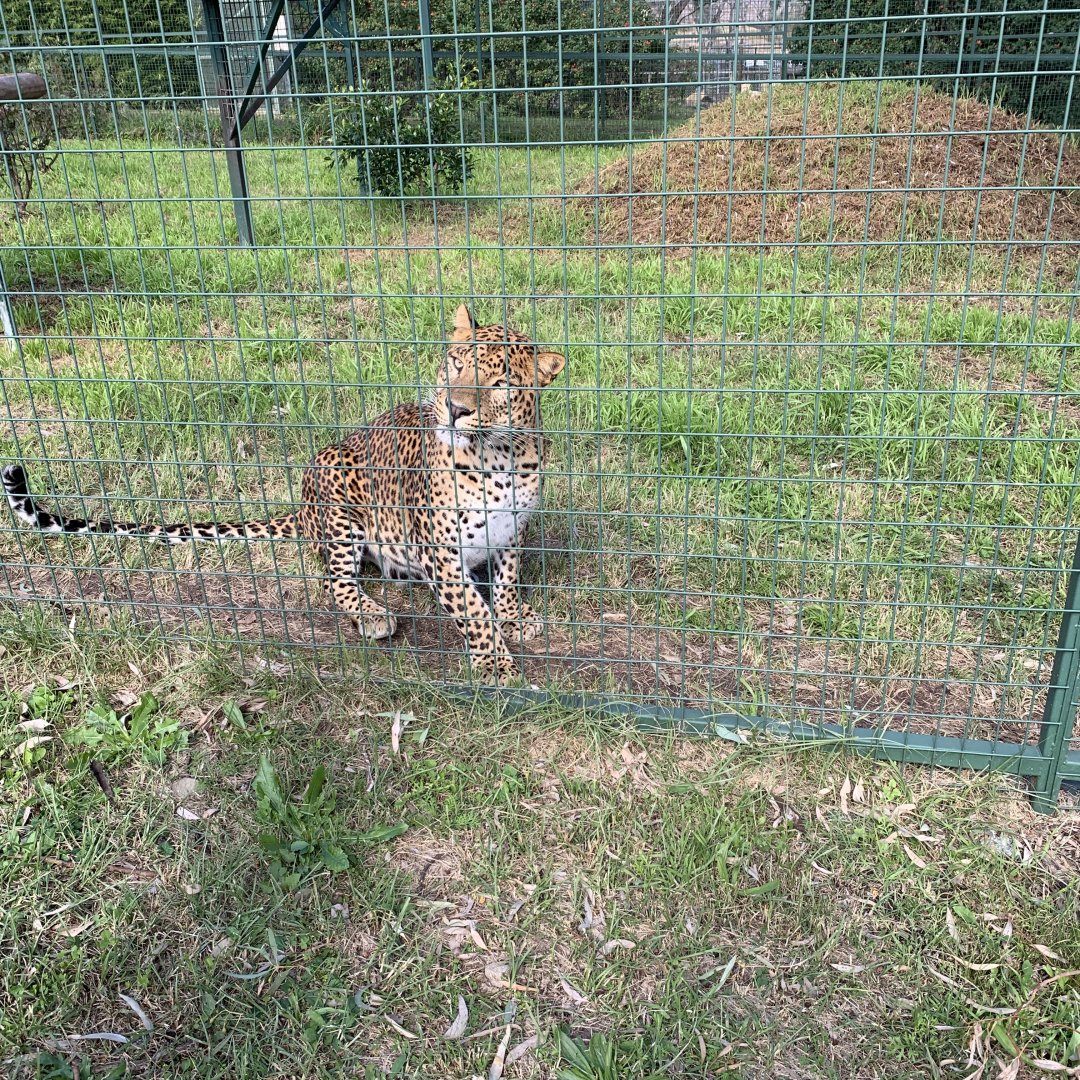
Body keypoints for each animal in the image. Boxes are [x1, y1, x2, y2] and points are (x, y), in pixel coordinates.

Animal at [3, 305, 566, 682]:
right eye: (454, 363)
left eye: (499, 385)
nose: (454, 408)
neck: (500, 459)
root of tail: (301, 508)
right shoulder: (441, 553)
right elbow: (473, 611)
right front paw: (494, 663)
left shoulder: (512, 533)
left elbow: (507, 583)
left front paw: (516, 618)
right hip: (337, 489)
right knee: (334, 580)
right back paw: (373, 615)